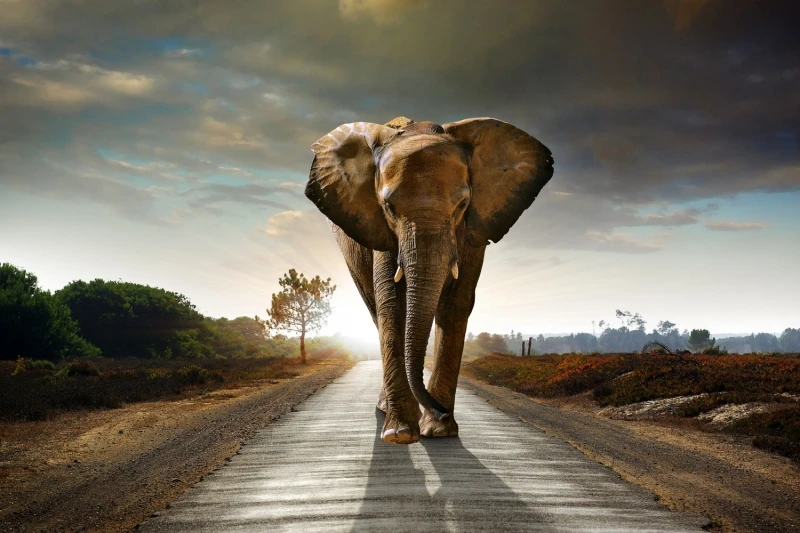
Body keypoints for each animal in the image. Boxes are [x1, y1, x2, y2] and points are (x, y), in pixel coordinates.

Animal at [305, 116, 554, 444]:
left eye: (462, 205)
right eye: (388, 207)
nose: (440, 410)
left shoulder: (472, 231)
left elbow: (455, 304)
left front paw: (438, 431)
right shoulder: (382, 232)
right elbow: (392, 304)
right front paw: (400, 434)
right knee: (375, 309)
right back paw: (387, 410)